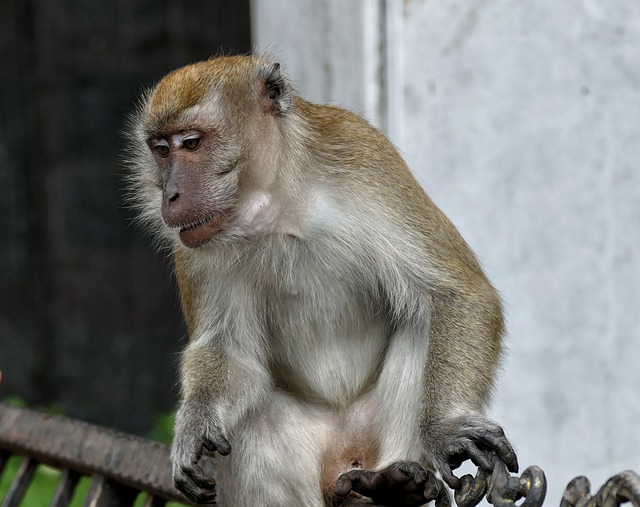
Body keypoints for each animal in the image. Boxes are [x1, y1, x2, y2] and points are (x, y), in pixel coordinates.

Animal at [126, 53, 520, 506]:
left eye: (191, 143)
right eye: (160, 150)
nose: (170, 195)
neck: (276, 205)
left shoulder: (364, 159)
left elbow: (453, 292)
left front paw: (447, 429)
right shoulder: (193, 246)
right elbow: (227, 350)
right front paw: (196, 423)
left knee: (421, 324)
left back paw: (397, 482)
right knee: (251, 419)